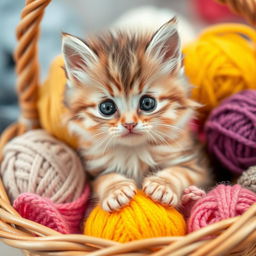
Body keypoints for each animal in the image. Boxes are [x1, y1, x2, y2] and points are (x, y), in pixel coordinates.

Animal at [62, 17, 210, 211]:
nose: (129, 124)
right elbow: (105, 178)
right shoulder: (94, 174)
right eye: (107, 107)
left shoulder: (197, 164)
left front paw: (161, 185)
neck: (134, 153)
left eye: (147, 103)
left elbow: (180, 171)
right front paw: (117, 190)